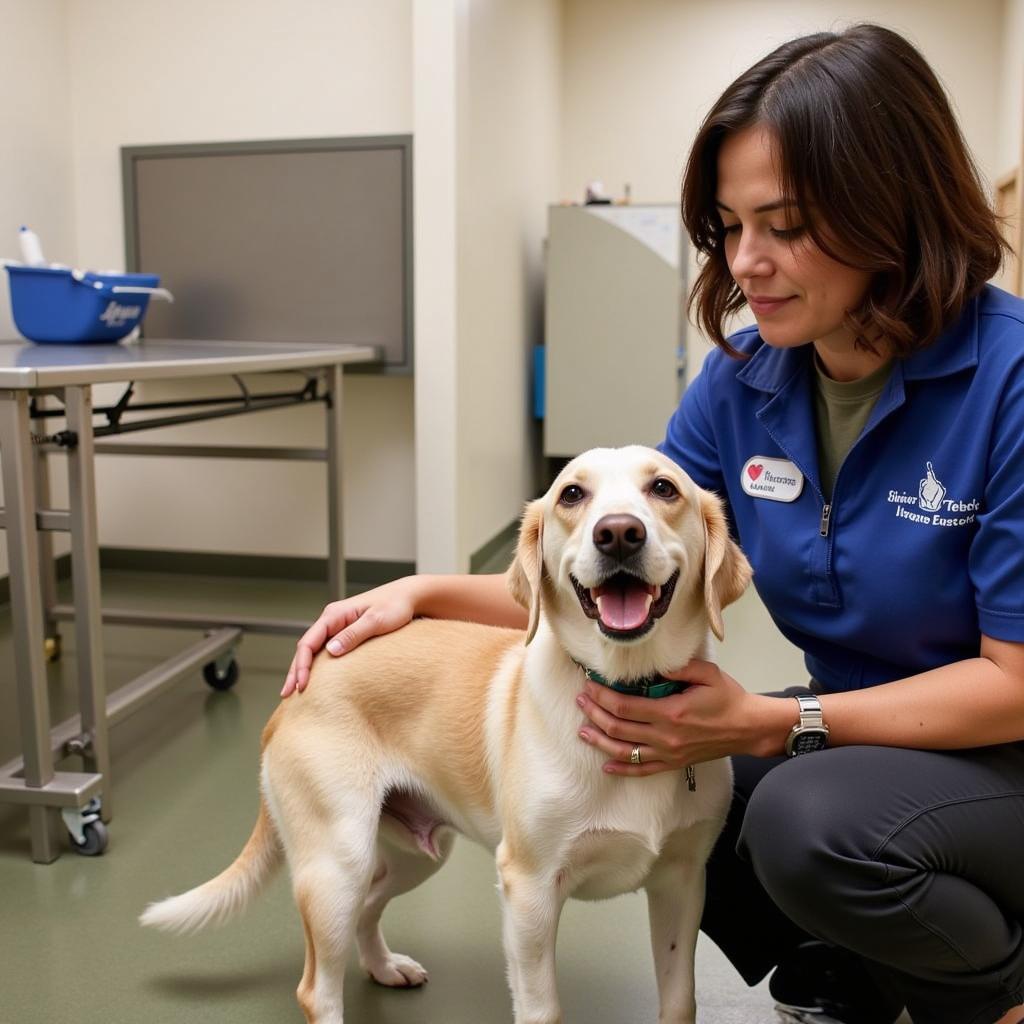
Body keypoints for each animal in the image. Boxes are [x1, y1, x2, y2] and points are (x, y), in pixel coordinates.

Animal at [140, 444, 753, 1024]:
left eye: (664, 488)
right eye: (572, 494)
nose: (619, 532)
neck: (627, 685)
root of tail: (298, 686)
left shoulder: (681, 883)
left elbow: (680, 1001)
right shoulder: (529, 890)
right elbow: (542, 1007)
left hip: (414, 856)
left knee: (368, 910)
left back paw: (386, 967)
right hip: (338, 862)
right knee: (317, 988)